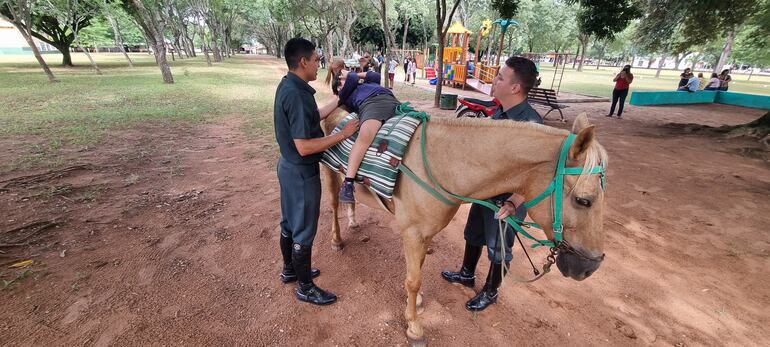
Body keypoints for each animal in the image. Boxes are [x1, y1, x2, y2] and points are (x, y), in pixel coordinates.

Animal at [318, 109, 608, 346]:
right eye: (584, 200)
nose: (590, 267)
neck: (439, 164)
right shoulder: (412, 234)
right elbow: (413, 280)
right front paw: (414, 327)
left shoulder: (424, 235)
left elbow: (418, 270)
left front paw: (418, 304)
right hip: (330, 176)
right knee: (334, 205)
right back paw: (337, 239)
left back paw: (353, 220)